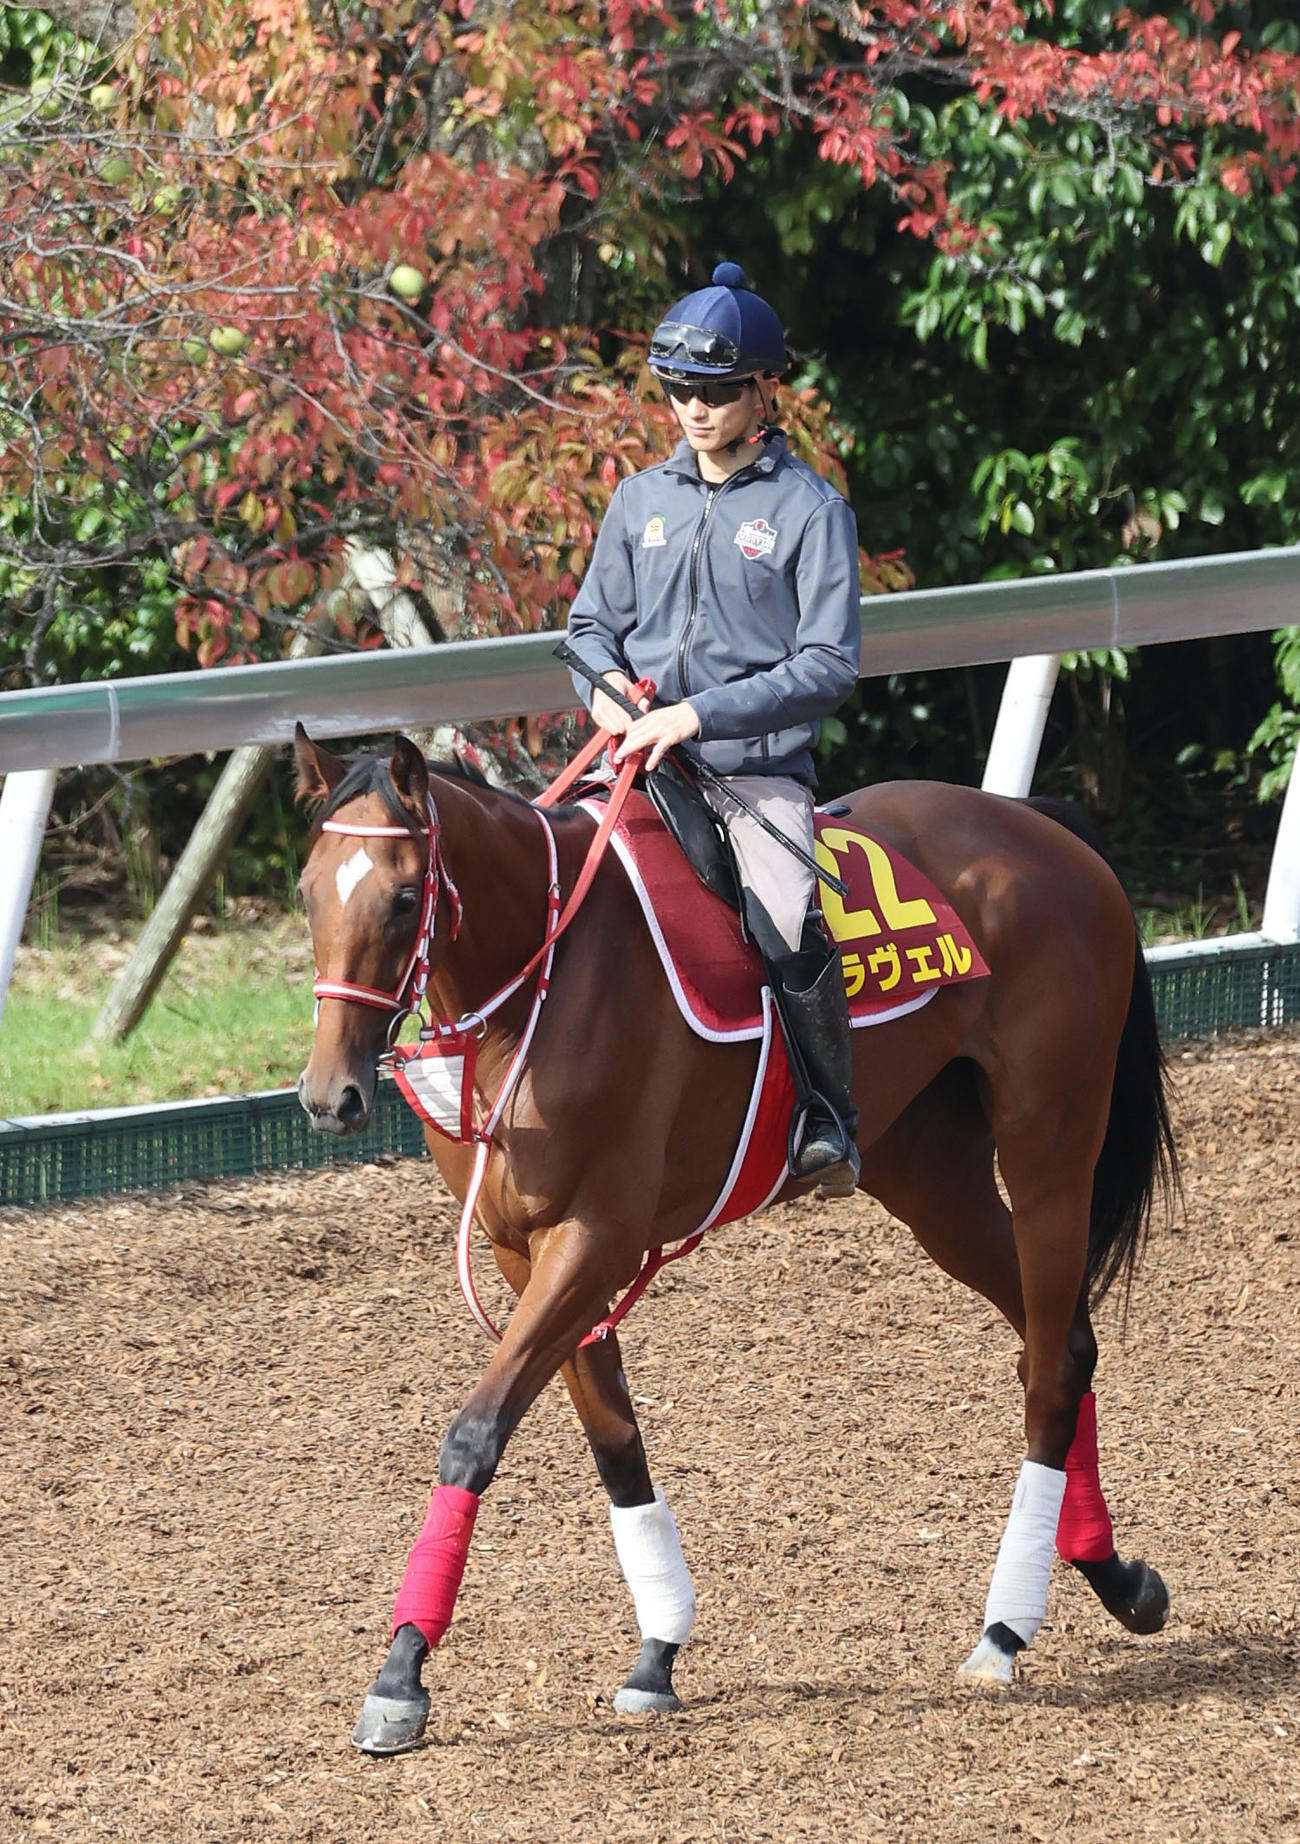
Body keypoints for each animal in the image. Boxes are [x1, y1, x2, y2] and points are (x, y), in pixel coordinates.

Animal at [292, 723, 1177, 1755]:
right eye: (309, 891)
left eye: (402, 897)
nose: (330, 1096)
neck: (543, 984)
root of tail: (1042, 828)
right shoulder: (528, 1250)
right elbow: (615, 1442)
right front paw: (658, 1651)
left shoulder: (595, 1237)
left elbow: (475, 1432)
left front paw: (401, 1674)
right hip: (935, 1182)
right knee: (1060, 1341)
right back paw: (1116, 1579)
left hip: (1050, 1148)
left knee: (1049, 1366)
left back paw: (1004, 1629)